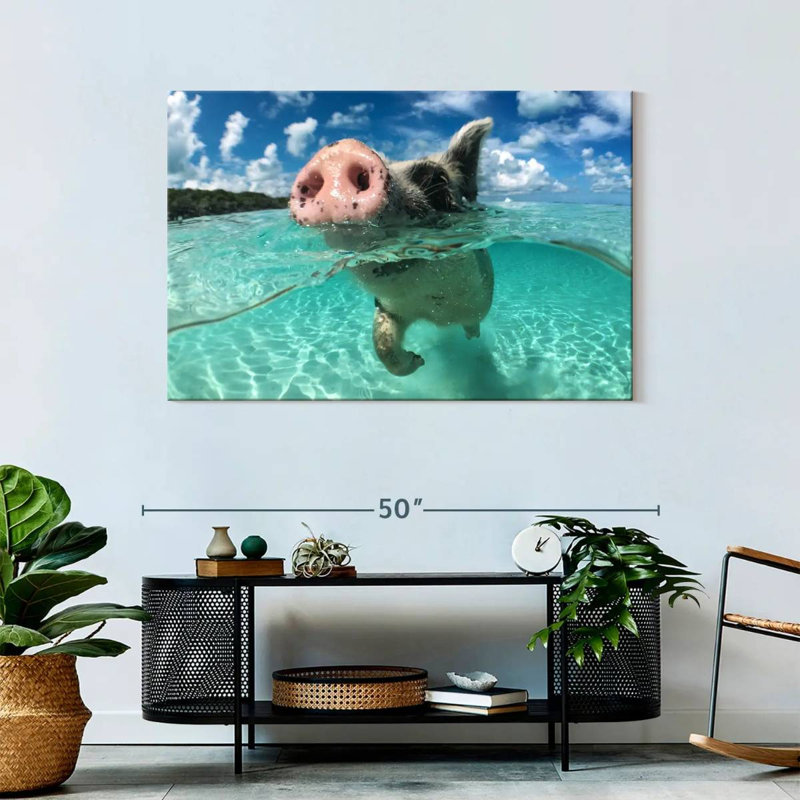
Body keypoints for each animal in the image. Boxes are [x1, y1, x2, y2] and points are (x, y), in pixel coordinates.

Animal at [289, 118, 494, 377]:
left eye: (436, 179)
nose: (337, 152)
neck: (435, 312)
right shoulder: (389, 307)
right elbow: (382, 343)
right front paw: (419, 360)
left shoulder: (477, 300)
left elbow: (472, 321)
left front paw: (465, 339)